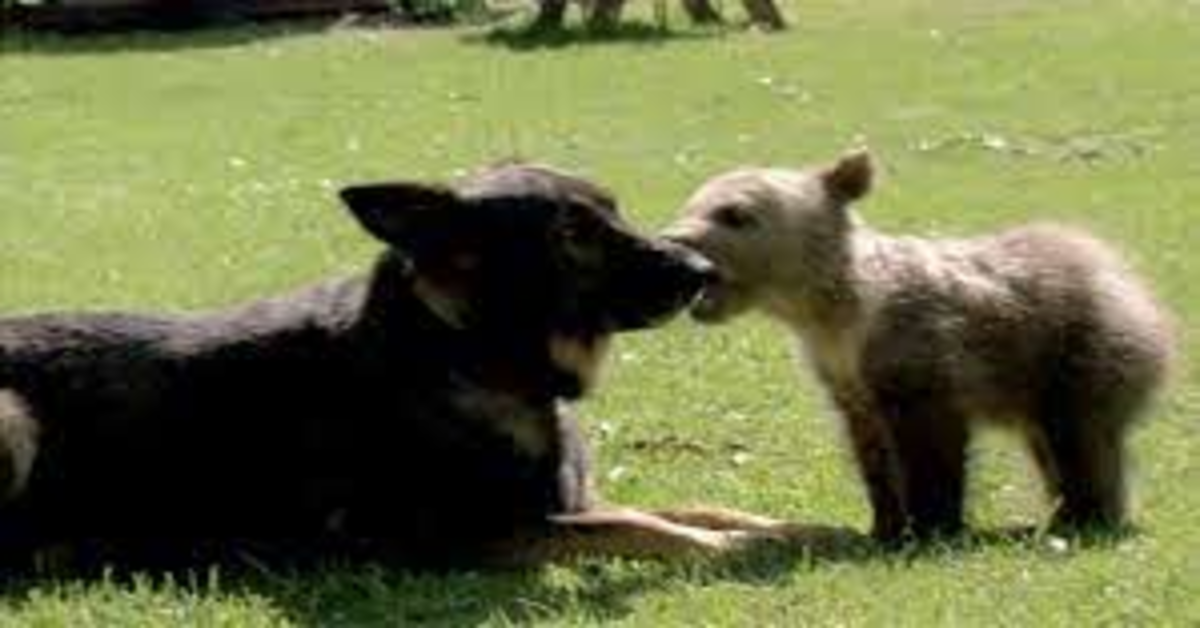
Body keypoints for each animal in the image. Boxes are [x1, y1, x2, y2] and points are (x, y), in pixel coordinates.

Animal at [0, 163, 796, 573]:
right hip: (11, 418)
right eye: (571, 230)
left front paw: (785, 530)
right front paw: (736, 549)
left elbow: (689, 509)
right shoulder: (475, 535)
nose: (701, 273)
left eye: (613, 209)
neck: (469, 349)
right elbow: (644, 527)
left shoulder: (570, 501)